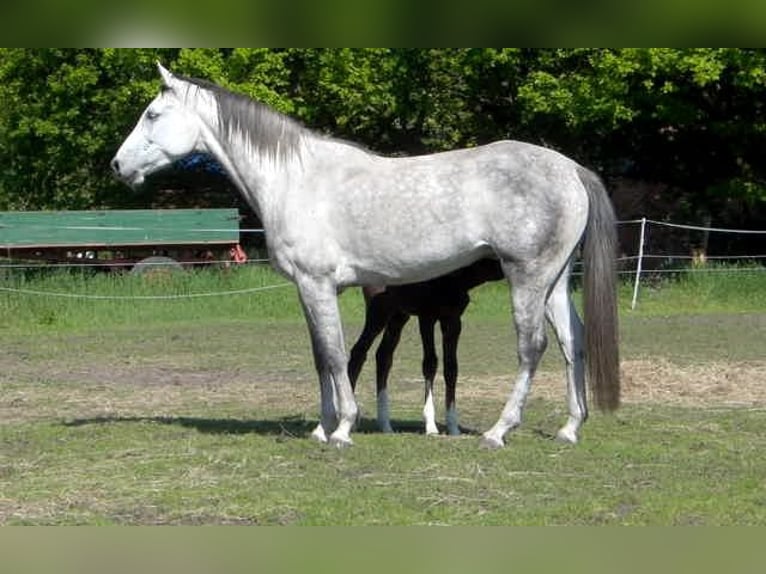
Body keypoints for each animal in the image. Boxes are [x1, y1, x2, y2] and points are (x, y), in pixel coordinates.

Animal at [111, 63, 620, 450]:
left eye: (153, 114)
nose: (118, 165)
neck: (296, 180)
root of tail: (570, 169)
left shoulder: (319, 284)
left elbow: (338, 354)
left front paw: (342, 428)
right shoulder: (307, 290)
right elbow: (321, 355)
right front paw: (321, 427)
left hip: (527, 277)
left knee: (532, 347)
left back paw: (499, 431)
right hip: (554, 282)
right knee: (572, 341)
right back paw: (569, 428)